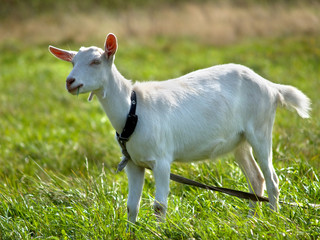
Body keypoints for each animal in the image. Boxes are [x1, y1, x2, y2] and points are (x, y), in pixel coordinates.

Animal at [48, 32, 312, 226]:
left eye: (95, 61)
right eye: (72, 62)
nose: (70, 82)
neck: (133, 108)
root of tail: (270, 86)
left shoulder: (162, 160)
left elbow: (159, 205)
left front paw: (158, 231)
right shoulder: (133, 163)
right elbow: (131, 205)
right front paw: (131, 231)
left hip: (260, 128)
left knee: (272, 178)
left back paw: (274, 220)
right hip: (239, 141)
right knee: (256, 179)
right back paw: (250, 222)